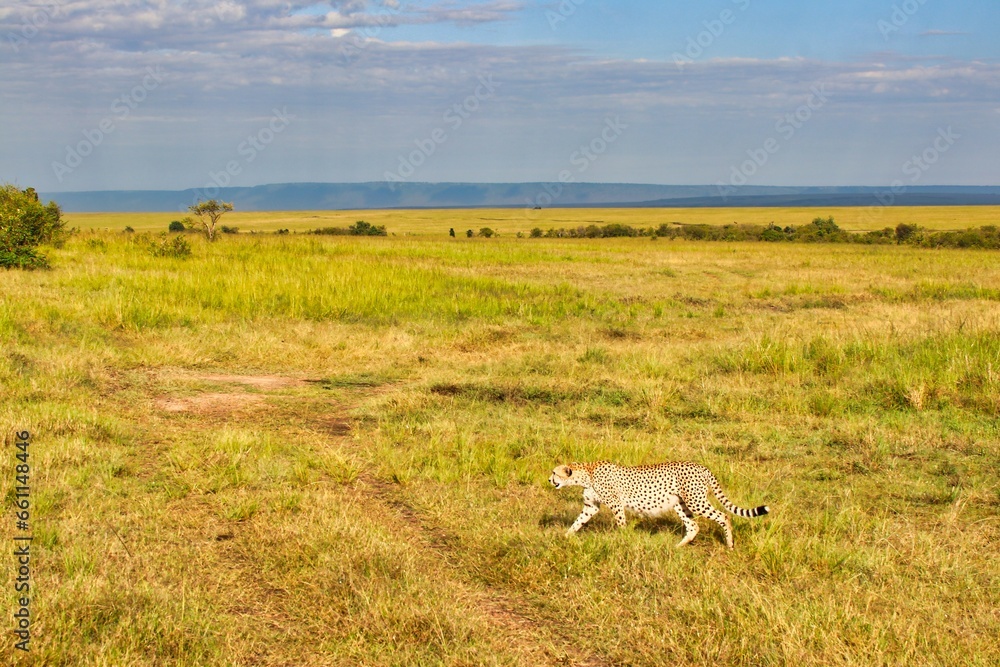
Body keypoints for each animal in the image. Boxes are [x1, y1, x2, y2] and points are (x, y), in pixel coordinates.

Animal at [549, 460, 769, 548]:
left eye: (554, 473)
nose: (549, 480)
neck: (586, 473)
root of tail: (701, 466)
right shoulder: (591, 506)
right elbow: (578, 522)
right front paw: (566, 536)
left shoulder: (616, 504)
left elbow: (621, 523)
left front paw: (623, 538)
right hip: (681, 504)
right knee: (693, 526)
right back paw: (678, 546)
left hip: (696, 501)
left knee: (724, 515)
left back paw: (730, 544)